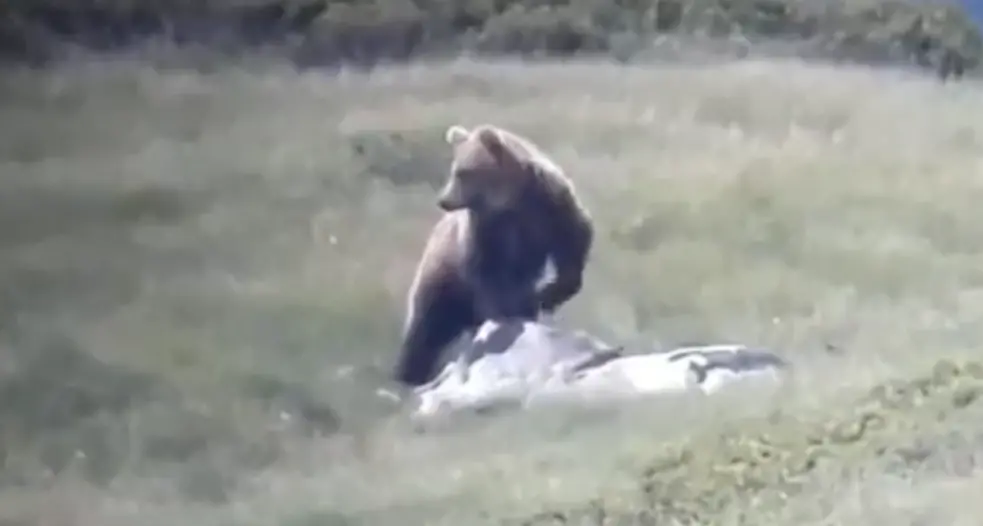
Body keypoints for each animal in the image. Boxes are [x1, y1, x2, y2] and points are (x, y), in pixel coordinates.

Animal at [392, 123, 595, 387]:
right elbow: (489, 273)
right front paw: (509, 313)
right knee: (424, 332)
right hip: (440, 282)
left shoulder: (550, 206)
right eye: (455, 169)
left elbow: (574, 239)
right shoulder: (486, 230)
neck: (510, 200)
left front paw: (548, 294)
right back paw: (409, 374)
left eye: (463, 172)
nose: (443, 200)